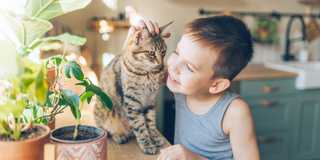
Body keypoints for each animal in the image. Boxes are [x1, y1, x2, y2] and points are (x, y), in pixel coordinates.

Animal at [93, 21, 172, 154]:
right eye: (151, 53)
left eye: (163, 52)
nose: (161, 65)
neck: (148, 74)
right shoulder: (132, 102)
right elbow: (140, 127)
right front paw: (147, 144)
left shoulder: (150, 101)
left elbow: (150, 123)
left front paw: (155, 138)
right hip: (103, 110)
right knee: (106, 130)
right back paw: (119, 135)